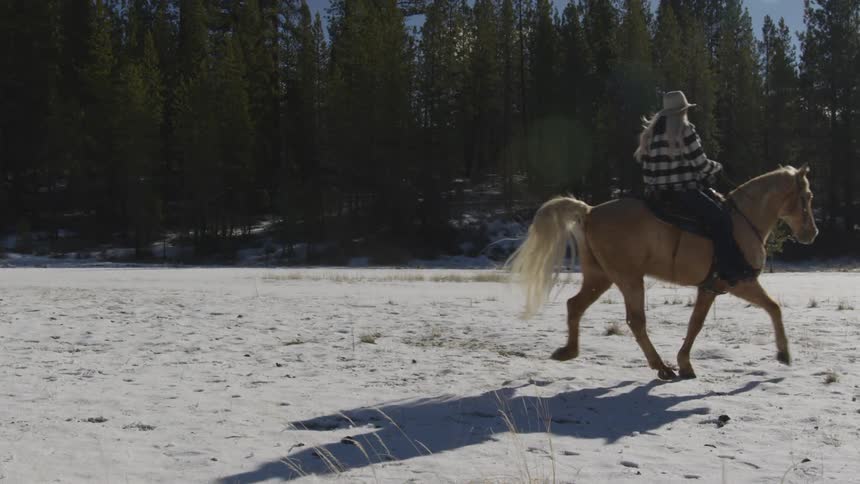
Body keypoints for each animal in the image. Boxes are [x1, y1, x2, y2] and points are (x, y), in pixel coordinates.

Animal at [507, 165, 818, 380]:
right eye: (807, 196)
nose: (811, 233)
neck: (743, 222)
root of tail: (590, 210)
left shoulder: (709, 288)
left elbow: (695, 324)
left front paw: (686, 364)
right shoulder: (740, 282)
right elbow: (774, 308)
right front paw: (783, 353)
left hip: (600, 277)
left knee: (575, 305)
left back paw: (568, 351)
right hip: (629, 279)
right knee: (635, 321)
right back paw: (661, 367)